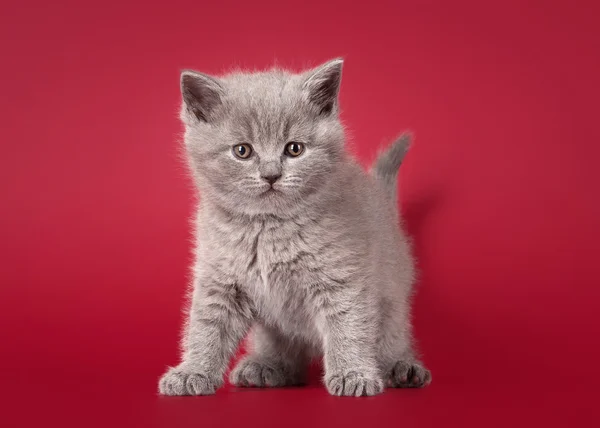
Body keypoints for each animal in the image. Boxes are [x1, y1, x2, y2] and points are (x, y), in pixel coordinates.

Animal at [158, 58, 432, 396]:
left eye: (294, 149)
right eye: (242, 151)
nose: (271, 174)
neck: (267, 227)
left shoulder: (342, 277)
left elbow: (348, 326)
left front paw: (353, 373)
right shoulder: (221, 279)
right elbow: (207, 326)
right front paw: (192, 371)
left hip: (393, 300)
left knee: (393, 338)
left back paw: (403, 369)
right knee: (289, 356)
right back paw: (266, 367)